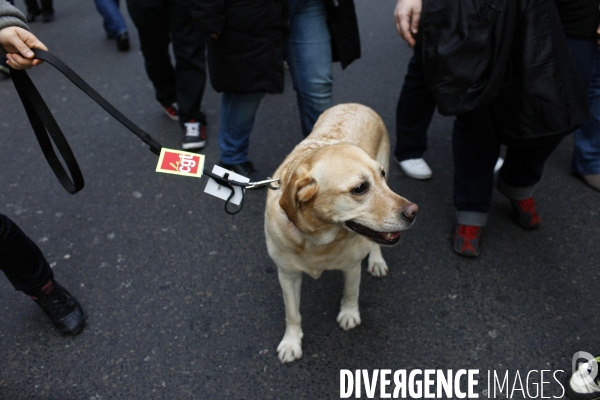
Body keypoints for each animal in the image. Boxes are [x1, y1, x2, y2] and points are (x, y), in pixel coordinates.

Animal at [262, 103, 418, 362]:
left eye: (381, 176)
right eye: (360, 188)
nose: (414, 212)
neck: (316, 240)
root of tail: (356, 104)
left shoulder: (352, 266)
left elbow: (351, 292)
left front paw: (349, 314)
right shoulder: (287, 274)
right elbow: (292, 313)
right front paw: (291, 343)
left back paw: (376, 261)